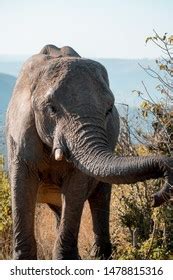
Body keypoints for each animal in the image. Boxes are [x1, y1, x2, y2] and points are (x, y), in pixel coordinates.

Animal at [6, 43, 172, 260]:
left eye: (109, 110)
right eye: (52, 109)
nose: (155, 198)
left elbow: (76, 188)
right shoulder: (20, 137)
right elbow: (21, 189)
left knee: (100, 198)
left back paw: (101, 256)